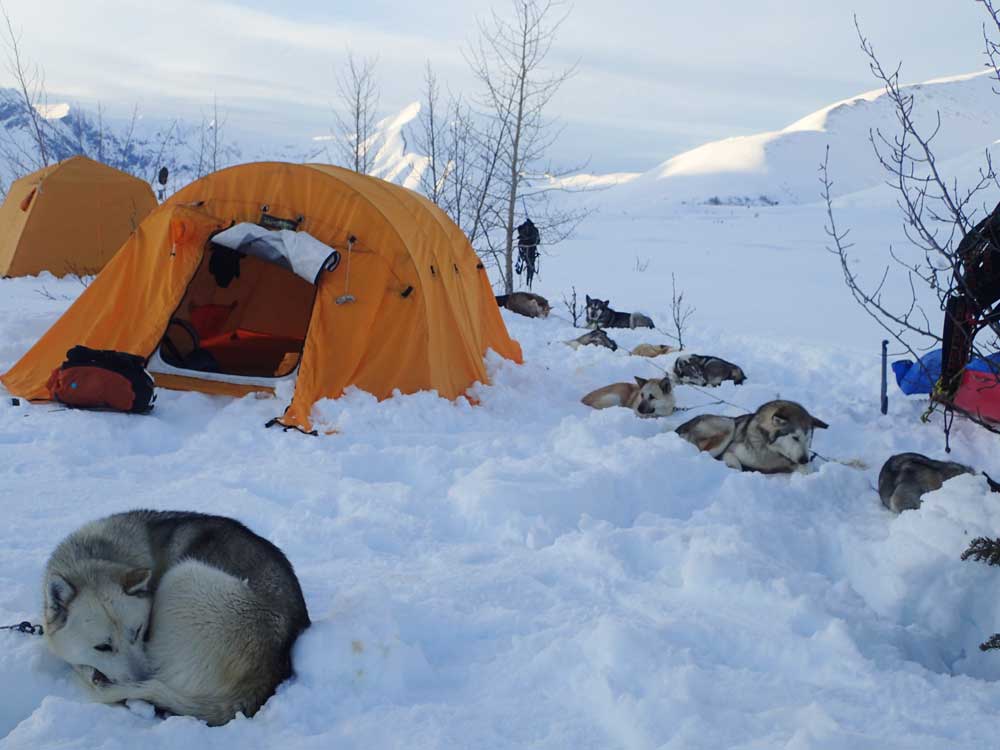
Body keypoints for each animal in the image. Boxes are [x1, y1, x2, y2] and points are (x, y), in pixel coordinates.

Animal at [43, 512, 310, 728]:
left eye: (140, 631)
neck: (92, 556)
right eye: (102, 647)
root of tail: (265, 673)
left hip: (183, 575)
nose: (142, 678)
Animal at [680, 400, 828, 476]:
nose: (804, 459)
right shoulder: (731, 450)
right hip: (728, 425)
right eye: (795, 437)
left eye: (808, 440)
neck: (771, 450)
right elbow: (735, 463)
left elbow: (807, 470)